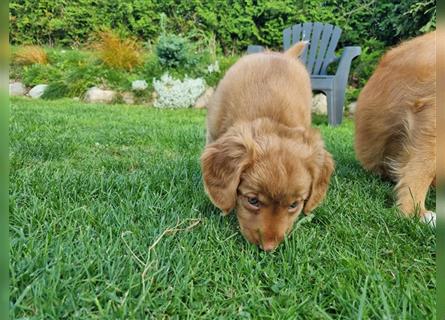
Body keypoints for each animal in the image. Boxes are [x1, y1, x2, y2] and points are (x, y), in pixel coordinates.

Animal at [201, 42, 332, 251]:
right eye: (253, 200)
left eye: (294, 205)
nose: (268, 248)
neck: (272, 117)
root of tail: (284, 55)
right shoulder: (213, 133)